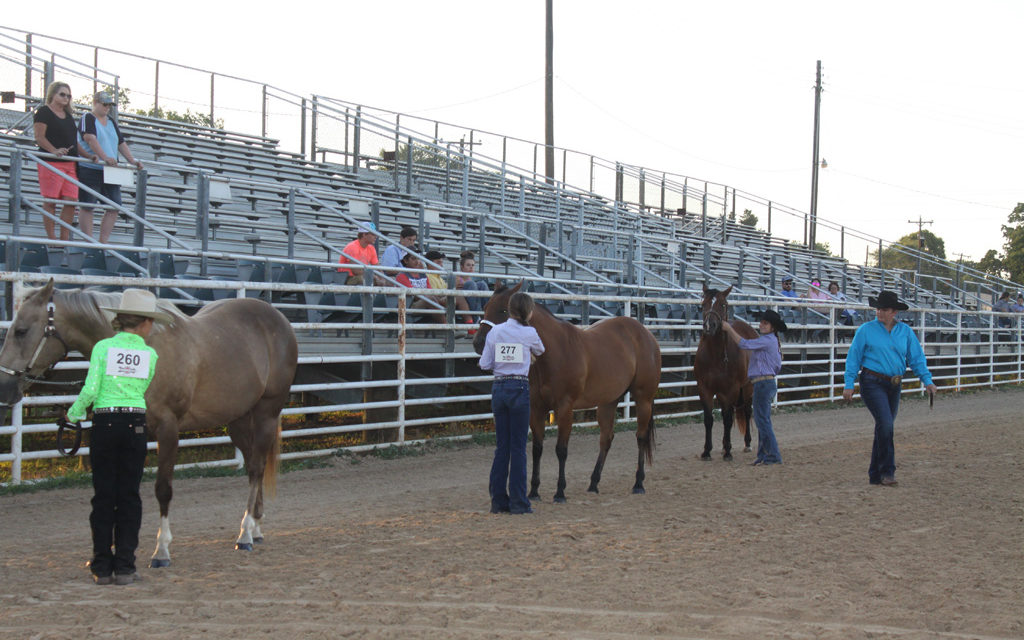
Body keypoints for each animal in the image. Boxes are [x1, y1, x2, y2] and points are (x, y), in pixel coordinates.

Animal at [0, 278, 299, 565]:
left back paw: (245, 533)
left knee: (256, 468)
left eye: (21, 331)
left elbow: (163, 489)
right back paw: (256, 527)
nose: (5, 387)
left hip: (266, 413)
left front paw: (161, 550)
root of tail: (278, 318)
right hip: (237, 420)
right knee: (251, 464)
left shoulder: (168, 430)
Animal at [473, 282, 663, 501]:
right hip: (608, 401)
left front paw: (560, 492)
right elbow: (537, 449)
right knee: (606, 439)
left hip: (643, 399)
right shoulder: (536, 408)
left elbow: (561, 450)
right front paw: (534, 491)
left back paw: (638, 483)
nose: (478, 343)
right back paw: (593, 483)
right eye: (485, 306)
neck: (554, 352)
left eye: (503, 310)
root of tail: (646, 334)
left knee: (640, 437)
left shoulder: (565, 408)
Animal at [692, 284, 757, 458]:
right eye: (703, 304)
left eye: (722, 305)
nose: (709, 326)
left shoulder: (731, 389)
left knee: (747, 411)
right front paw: (707, 451)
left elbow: (728, 419)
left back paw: (747, 443)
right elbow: (709, 419)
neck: (715, 355)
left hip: (747, 388)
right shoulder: (705, 389)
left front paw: (728, 451)